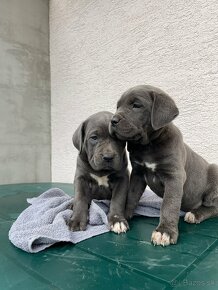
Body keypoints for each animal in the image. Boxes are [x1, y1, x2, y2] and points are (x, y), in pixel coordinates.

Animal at [110, 85, 218, 246]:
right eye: (118, 107)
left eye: (136, 105)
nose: (113, 120)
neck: (148, 145)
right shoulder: (138, 173)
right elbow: (132, 195)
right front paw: (122, 216)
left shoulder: (174, 177)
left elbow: (169, 204)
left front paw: (164, 231)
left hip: (214, 173)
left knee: (214, 207)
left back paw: (195, 214)